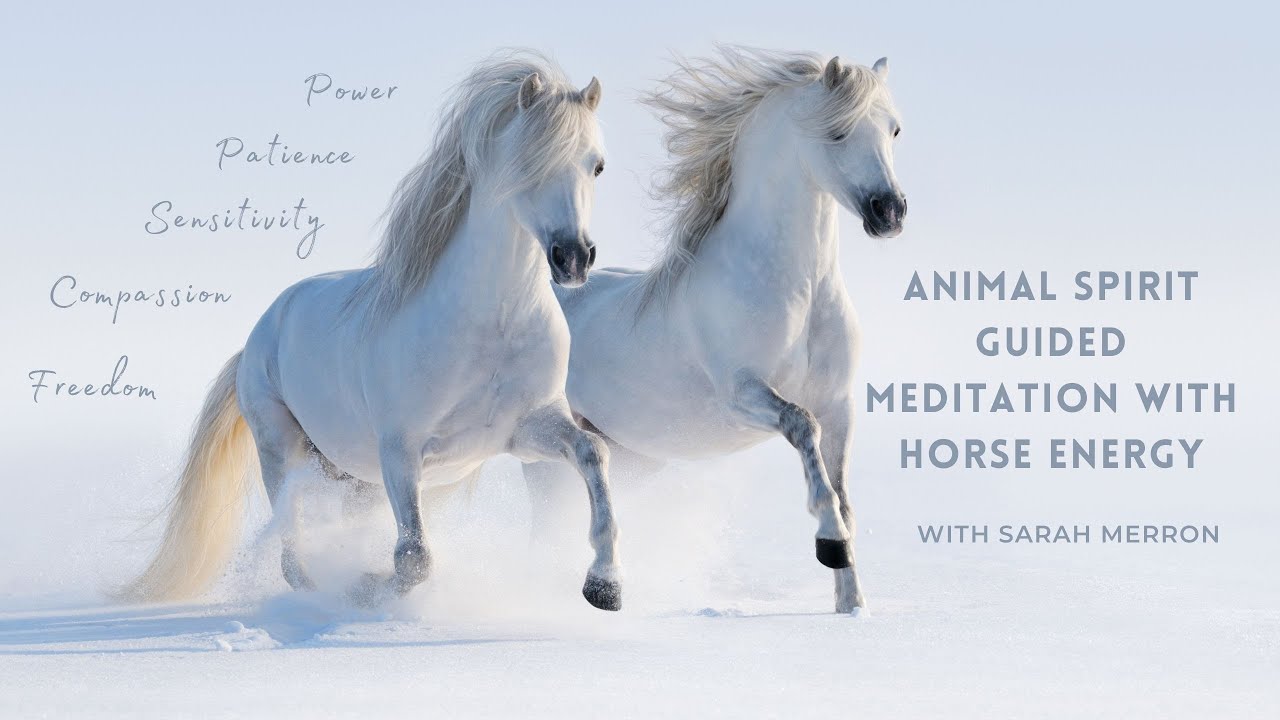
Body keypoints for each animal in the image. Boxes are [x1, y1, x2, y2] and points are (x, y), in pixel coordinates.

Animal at [125, 51, 624, 611]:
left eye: (597, 165)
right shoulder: (400, 451)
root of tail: (259, 335)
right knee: (291, 548)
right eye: (528, 162)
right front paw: (367, 588)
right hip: (283, 450)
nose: (573, 258)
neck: (491, 326)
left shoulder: (526, 430)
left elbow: (594, 453)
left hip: (352, 477)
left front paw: (605, 586)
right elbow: (414, 558)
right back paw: (321, 591)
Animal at [524, 47, 906, 614]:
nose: (890, 212)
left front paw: (851, 604)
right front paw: (830, 545)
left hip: (634, 456)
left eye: (894, 129)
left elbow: (844, 495)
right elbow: (803, 429)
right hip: (545, 453)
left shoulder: (840, 404)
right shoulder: (743, 393)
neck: (800, 292)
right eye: (837, 132)